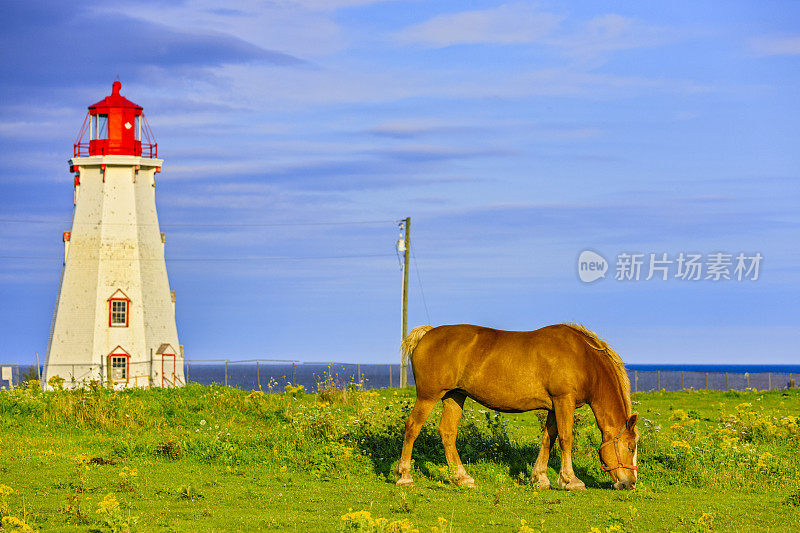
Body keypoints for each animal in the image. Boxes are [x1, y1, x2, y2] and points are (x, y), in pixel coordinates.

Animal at [394, 322, 636, 488]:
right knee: (412, 427)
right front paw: (570, 480)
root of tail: (427, 334)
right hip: (428, 397)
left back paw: (462, 477)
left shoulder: (553, 406)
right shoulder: (563, 401)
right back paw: (405, 476)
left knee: (447, 433)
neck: (583, 358)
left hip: (454, 397)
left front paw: (540, 478)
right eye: (631, 447)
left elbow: (548, 439)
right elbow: (566, 439)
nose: (631, 483)